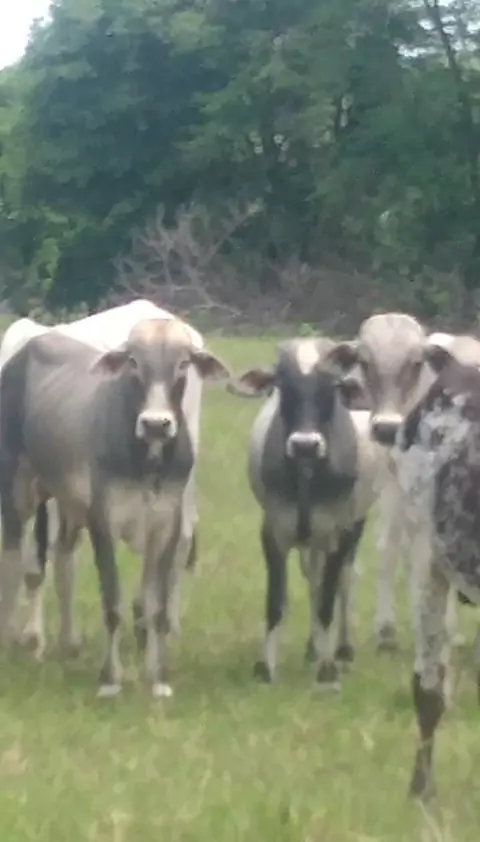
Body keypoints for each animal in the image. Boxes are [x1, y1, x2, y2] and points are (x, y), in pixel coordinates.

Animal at [0, 318, 230, 697]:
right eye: (133, 361)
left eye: (183, 363)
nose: (156, 423)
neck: (148, 460)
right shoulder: (103, 521)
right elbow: (112, 603)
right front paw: (110, 680)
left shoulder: (165, 526)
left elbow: (156, 608)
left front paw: (158, 679)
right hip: (19, 494)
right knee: (15, 562)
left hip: (68, 504)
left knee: (62, 559)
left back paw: (69, 642)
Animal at [228, 337, 387, 688]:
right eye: (282, 387)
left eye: (332, 388)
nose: (305, 444)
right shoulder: (273, 531)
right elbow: (276, 602)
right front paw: (266, 668)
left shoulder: (341, 531)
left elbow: (328, 600)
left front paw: (327, 671)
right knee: (313, 576)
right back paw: (313, 647)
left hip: (352, 528)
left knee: (344, 579)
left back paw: (341, 649)